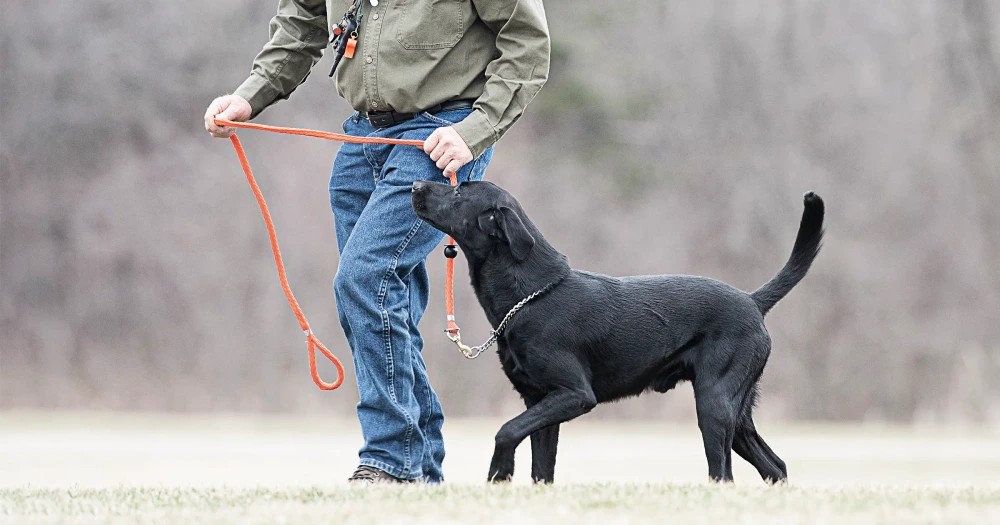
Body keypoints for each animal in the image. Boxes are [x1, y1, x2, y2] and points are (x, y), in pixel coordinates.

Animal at [410, 181, 824, 484]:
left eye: (459, 193)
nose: (415, 183)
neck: (531, 294)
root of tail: (753, 301)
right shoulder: (540, 400)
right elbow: (541, 468)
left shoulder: (574, 395)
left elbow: (506, 430)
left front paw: (500, 472)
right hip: (738, 415)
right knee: (775, 466)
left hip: (715, 404)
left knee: (723, 473)